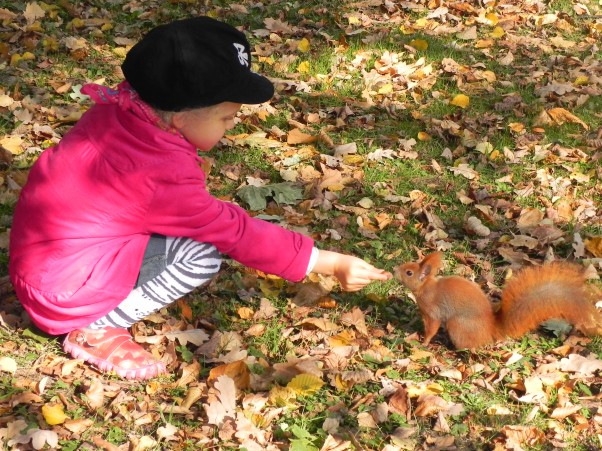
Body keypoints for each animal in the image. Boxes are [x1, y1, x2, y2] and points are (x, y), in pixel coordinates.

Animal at [394, 252, 600, 352]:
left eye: (409, 272)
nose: (395, 269)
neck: (426, 288)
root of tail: (490, 329)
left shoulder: (433, 313)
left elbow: (432, 328)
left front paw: (424, 342)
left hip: (458, 325)